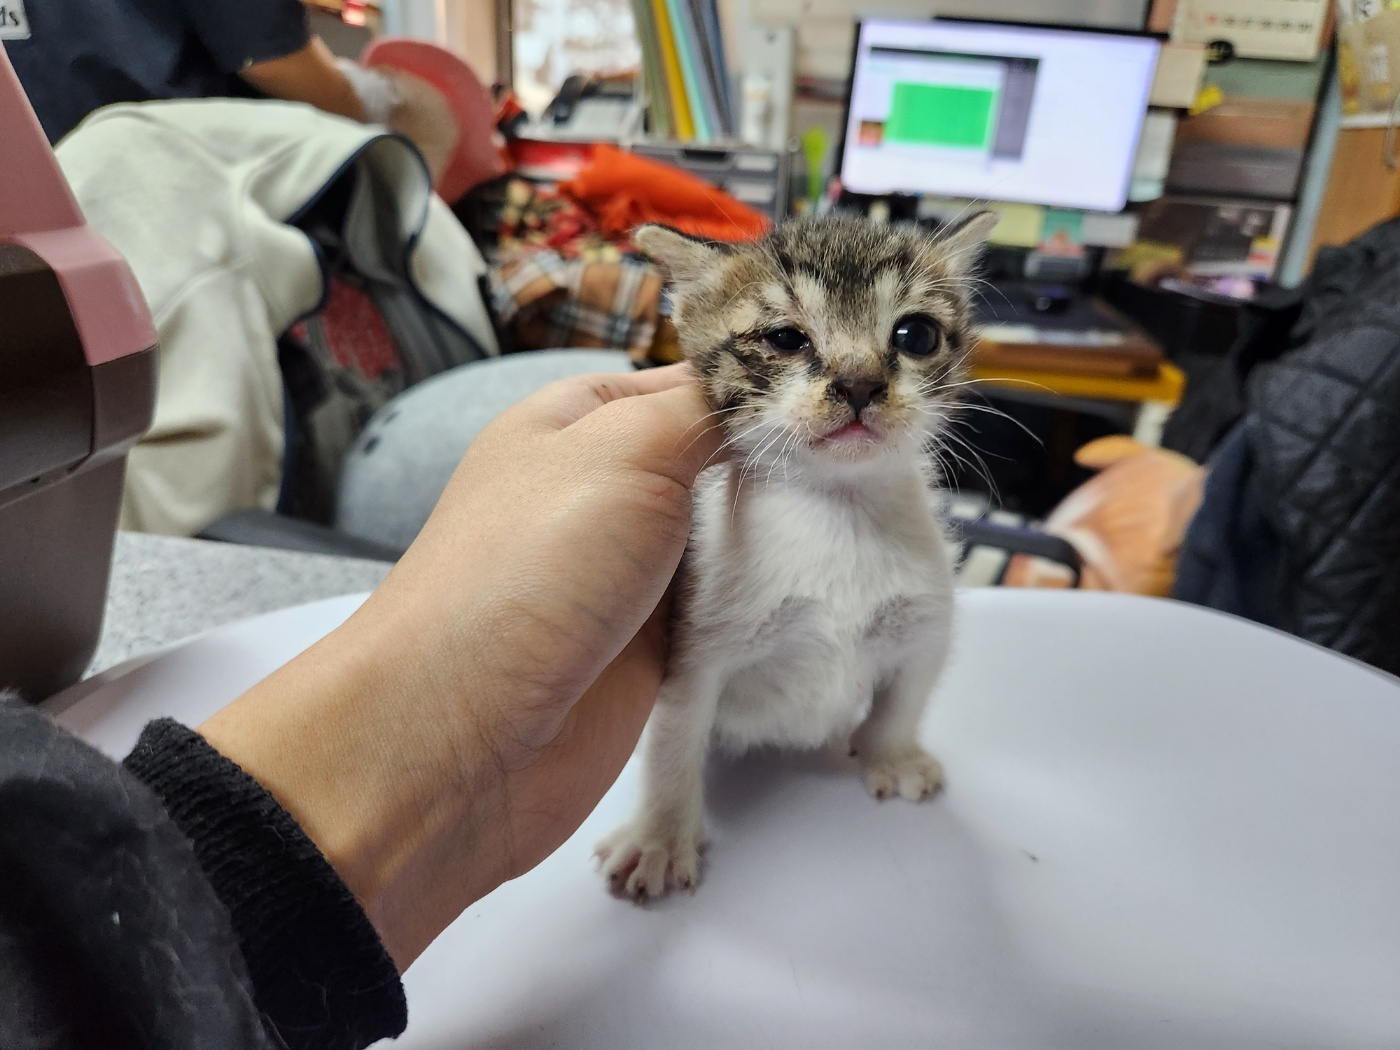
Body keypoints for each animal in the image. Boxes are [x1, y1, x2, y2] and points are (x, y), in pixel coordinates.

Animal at [596, 211, 1002, 907]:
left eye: (916, 333)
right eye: (784, 338)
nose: (860, 383)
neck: (836, 510)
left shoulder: (927, 620)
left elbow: (906, 696)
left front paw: (892, 756)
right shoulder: (694, 649)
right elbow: (674, 742)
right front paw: (660, 838)